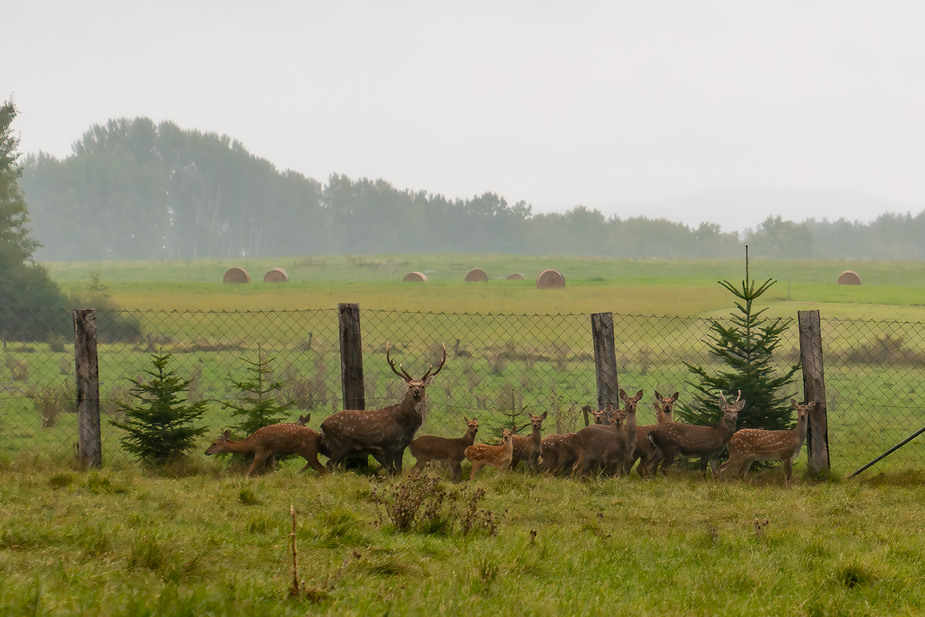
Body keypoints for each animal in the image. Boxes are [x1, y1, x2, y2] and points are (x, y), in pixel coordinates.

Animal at [320, 344, 446, 474]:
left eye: (422, 386)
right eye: (410, 386)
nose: (416, 391)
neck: (405, 423)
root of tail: (322, 425)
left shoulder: (401, 447)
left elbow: (399, 470)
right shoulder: (387, 444)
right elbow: (390, 469)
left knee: (332, 463)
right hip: (341, 443)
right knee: (330, 463)